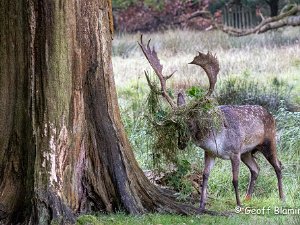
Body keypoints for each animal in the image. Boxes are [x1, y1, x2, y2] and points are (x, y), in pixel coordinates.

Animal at [138, 35, 284, 213]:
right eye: (176, 125)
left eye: (189, 123)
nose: (181, 144)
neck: (216, 140)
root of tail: (271, 115)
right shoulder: (210, 153)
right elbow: (205, 176)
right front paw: (201, 206)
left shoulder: (235, 151)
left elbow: (234, 180)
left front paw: (237, 205)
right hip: (248, 152)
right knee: (256, 169)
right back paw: (248, 198)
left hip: (269, 141)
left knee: (278, 166)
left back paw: (281, 198)